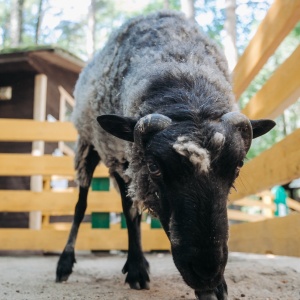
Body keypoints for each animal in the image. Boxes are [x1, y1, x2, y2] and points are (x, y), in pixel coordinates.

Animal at [55, 11, 276, 300]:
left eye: (238, 166)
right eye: (154, 167)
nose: (206, 271)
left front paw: (217, 286)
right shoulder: (123, 160)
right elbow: (130, 211)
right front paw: (137, 269)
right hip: (88, 144)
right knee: (81, 205)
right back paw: (65, 263)